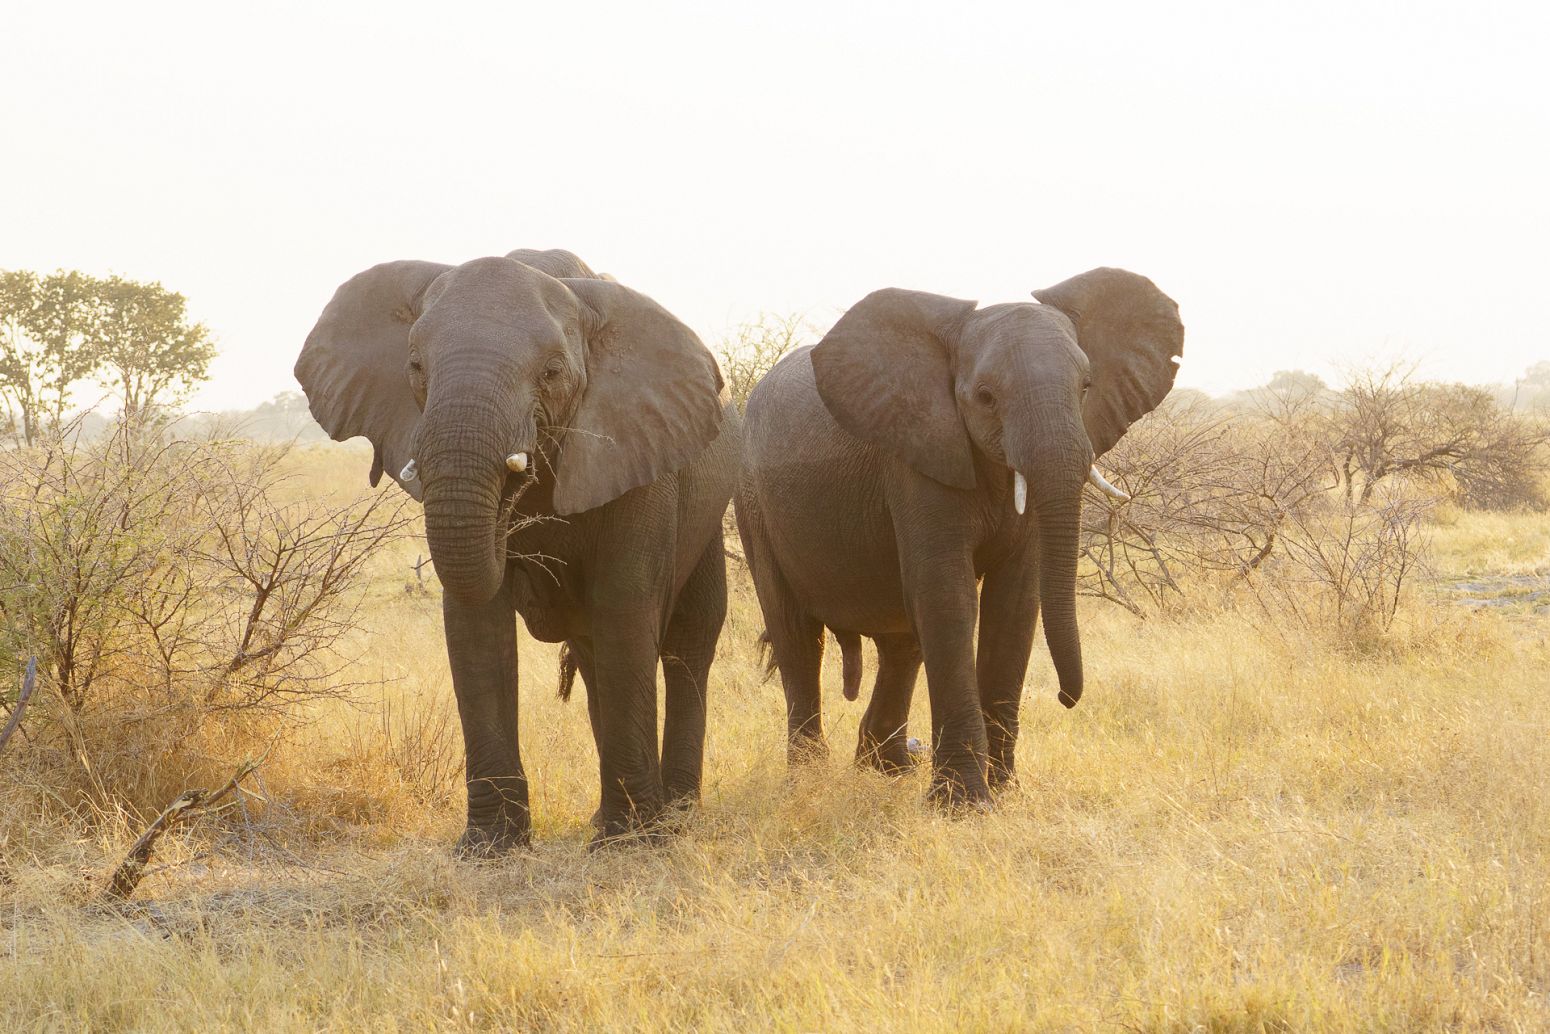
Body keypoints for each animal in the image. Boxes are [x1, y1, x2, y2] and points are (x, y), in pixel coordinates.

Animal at [297, 248, 744, 849]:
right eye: (415, 366)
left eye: (552, 373)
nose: (514, 499)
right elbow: (475, 625)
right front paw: (491, 847)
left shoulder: (644, 459)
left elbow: (626, 610)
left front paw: (627, 845)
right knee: (592, 652)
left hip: (707, 510)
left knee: (686, 642)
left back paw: (674, 818)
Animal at [731, 269, 1178, 806]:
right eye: (985, 397)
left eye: (1087, 386)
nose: (1066, 698)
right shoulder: (916, 455)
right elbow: (949, 596)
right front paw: (965, 806)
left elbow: (1015, 602)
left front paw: (1006, 795)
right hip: (752, 500)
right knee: (797, 635)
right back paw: (808, 782)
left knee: (902, 642)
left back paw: (888, 770)